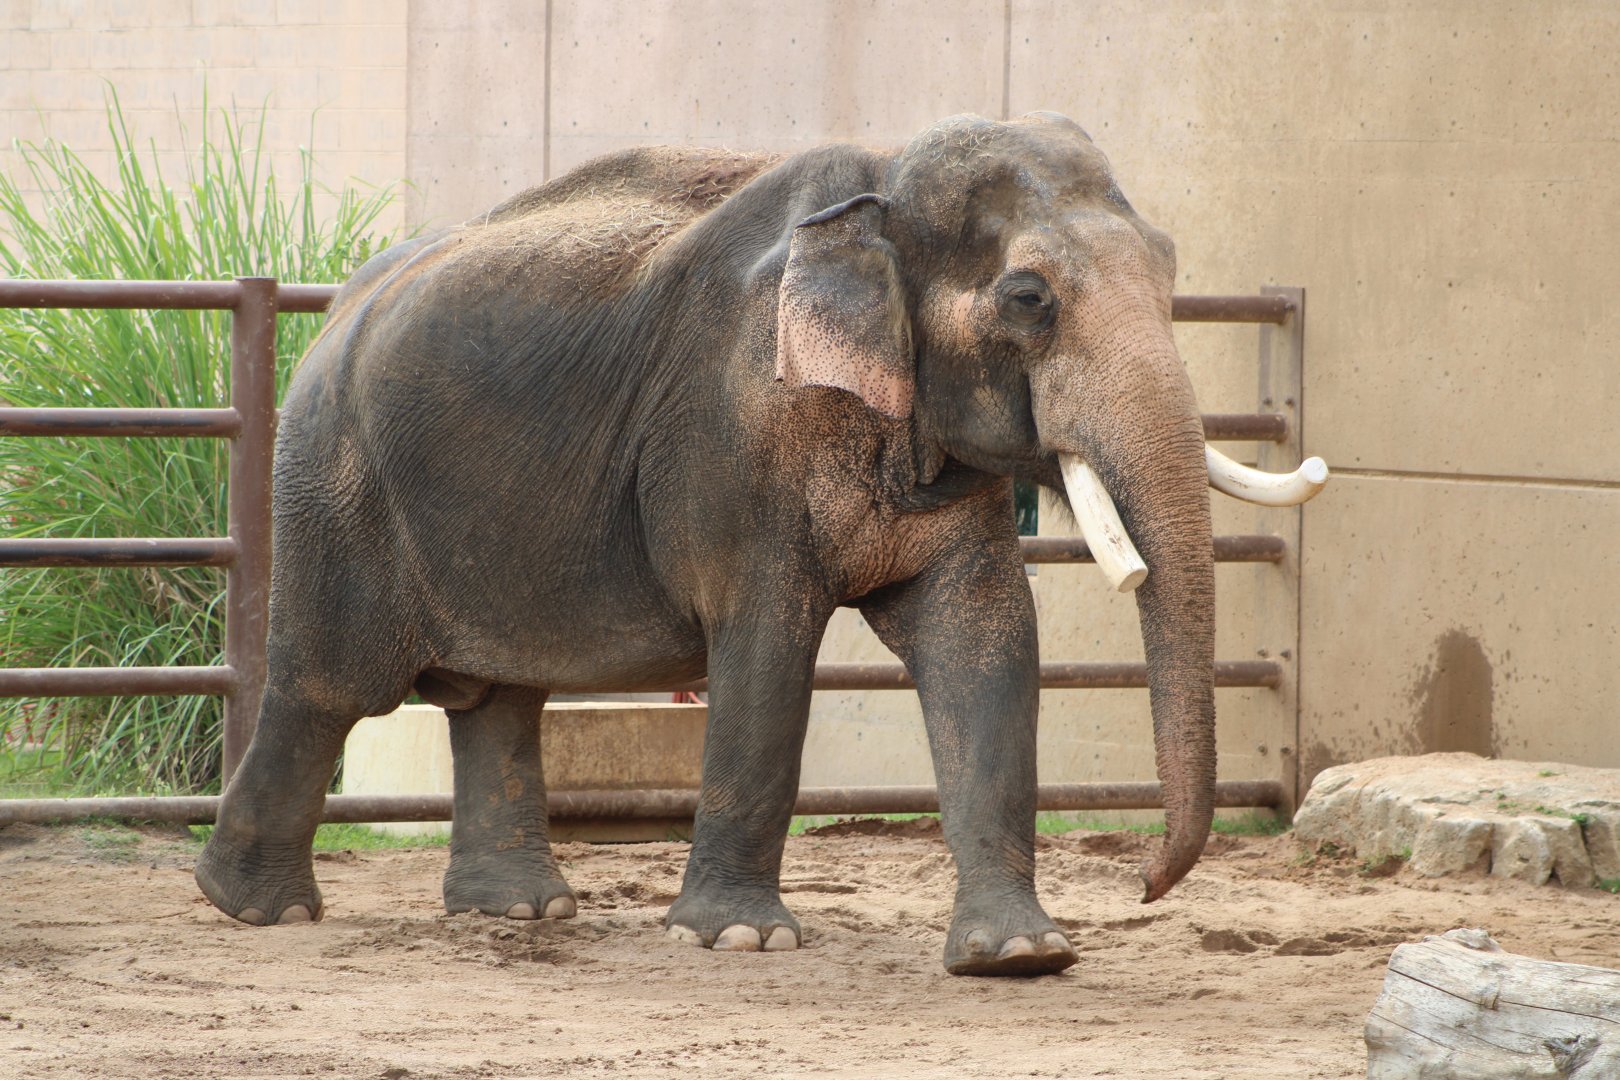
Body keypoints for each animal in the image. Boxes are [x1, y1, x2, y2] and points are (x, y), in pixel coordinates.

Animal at [194, 112, 1323, 977]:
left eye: (1173, 271)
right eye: (1028, 299)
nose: (1144, 885)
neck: (878, 185)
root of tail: (333, 307)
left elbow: (988, 644)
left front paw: (1022, 956)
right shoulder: (736, 434)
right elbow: (769, 647)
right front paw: (738, 940)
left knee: (500, 695)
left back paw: (519, 913)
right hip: (335, 483)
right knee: (331, 685)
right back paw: (254, 909)